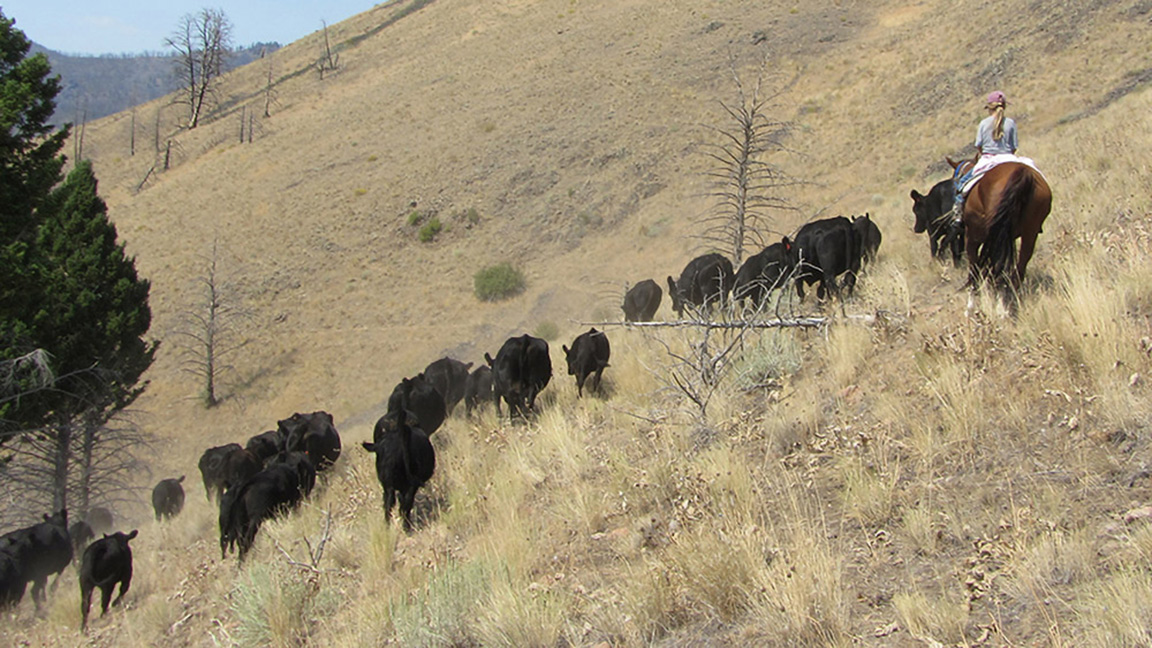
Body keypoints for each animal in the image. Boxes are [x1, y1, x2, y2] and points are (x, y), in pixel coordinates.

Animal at [949, 160, 1050, 291]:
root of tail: (1023, 173)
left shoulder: (972, 236)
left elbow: (974, 259)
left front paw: (972, 285)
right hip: (1029, 231)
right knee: (1023, 258)